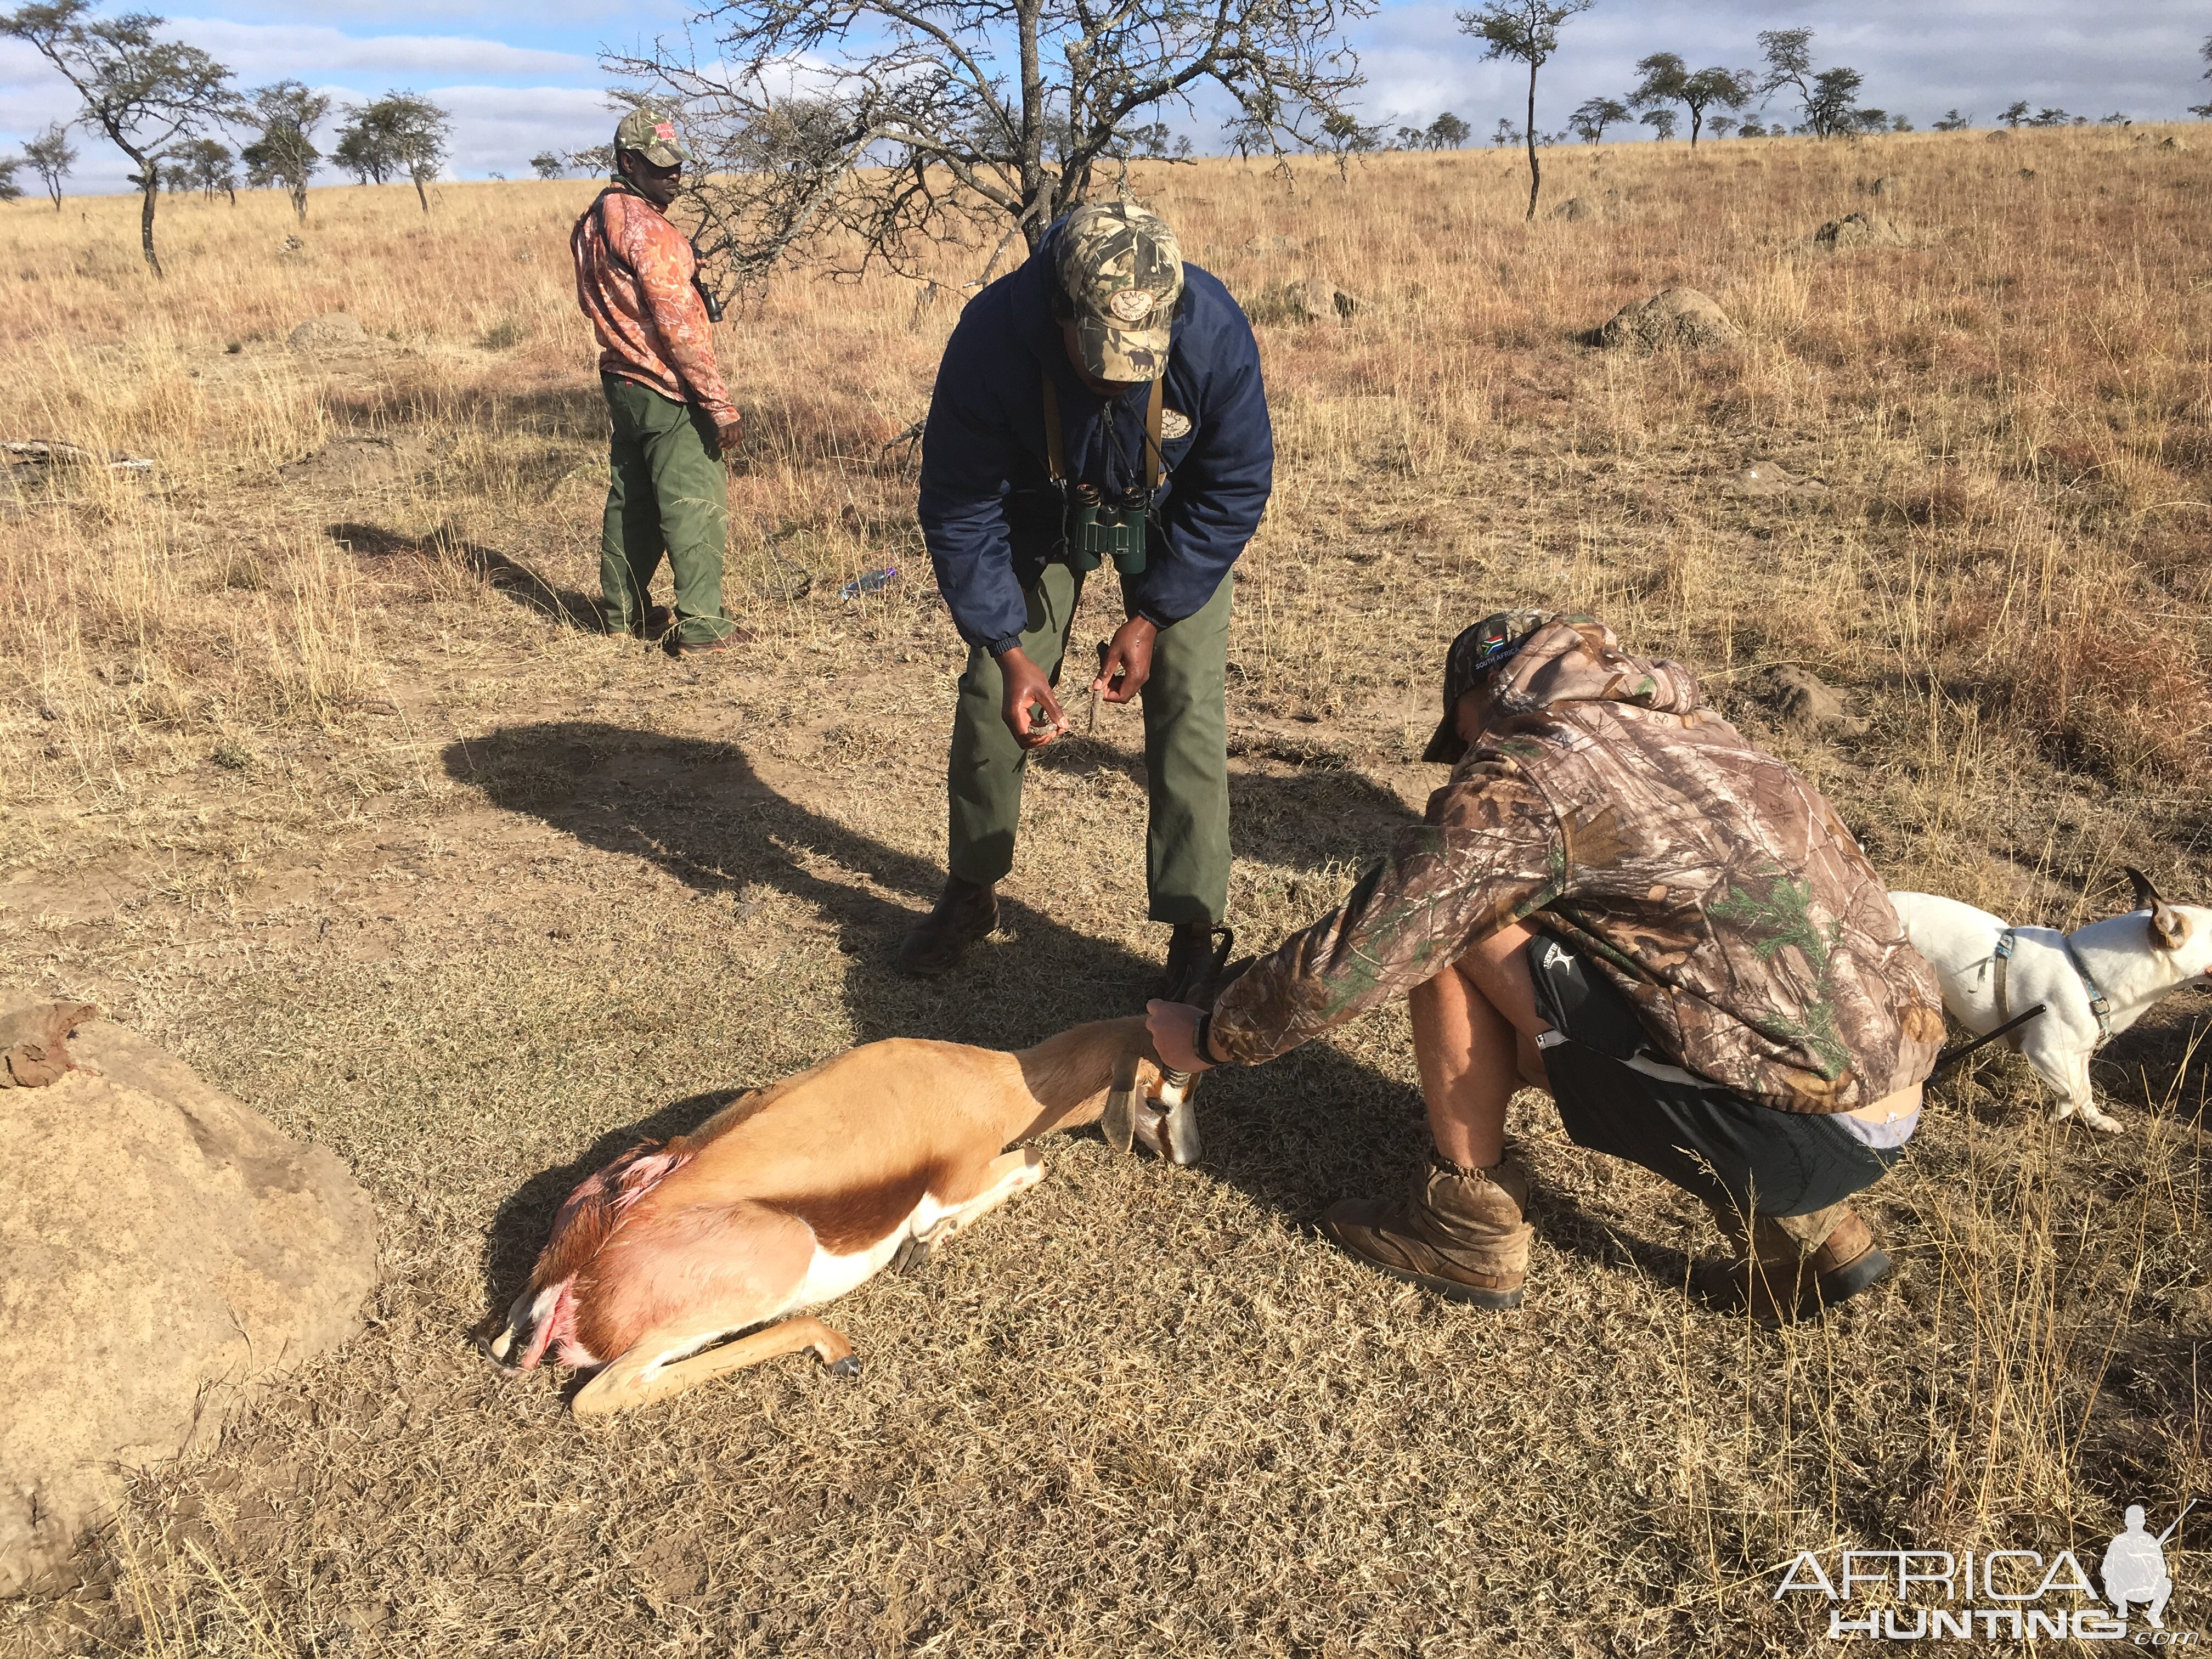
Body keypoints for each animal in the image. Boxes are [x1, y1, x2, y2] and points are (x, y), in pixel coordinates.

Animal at [484, 1013, 1177, 1415]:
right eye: (1165, 1096)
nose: (1185, 1156)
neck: (990, 1081)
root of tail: (570, 1280)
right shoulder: (958, 1177)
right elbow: (1034, 1161)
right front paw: (926, 1243)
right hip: (776, 1261)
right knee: (600, 1396)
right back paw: (834, 1346)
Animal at [1884, 871, 2212, 1132]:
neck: (2086, 973)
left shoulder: (2077, 1054)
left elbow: (2084, 1089)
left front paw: (2097, 1121)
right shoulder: (2046, 1052)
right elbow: (2077, 1093)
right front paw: (2059, 1114)